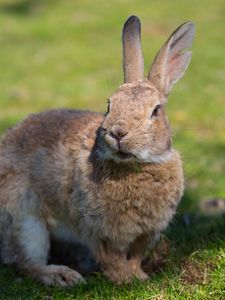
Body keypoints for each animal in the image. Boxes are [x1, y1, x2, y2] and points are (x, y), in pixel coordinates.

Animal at [0, 15, 194, 286]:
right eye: (109, 105)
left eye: (155, 111)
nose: (118, 132)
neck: (133, 167)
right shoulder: (98, 231)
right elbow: (112, 257)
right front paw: (123, 279)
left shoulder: (146, 234)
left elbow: (135, 256)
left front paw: (139, 276)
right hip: (23, 216)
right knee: (26, 261)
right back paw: (63, 276)